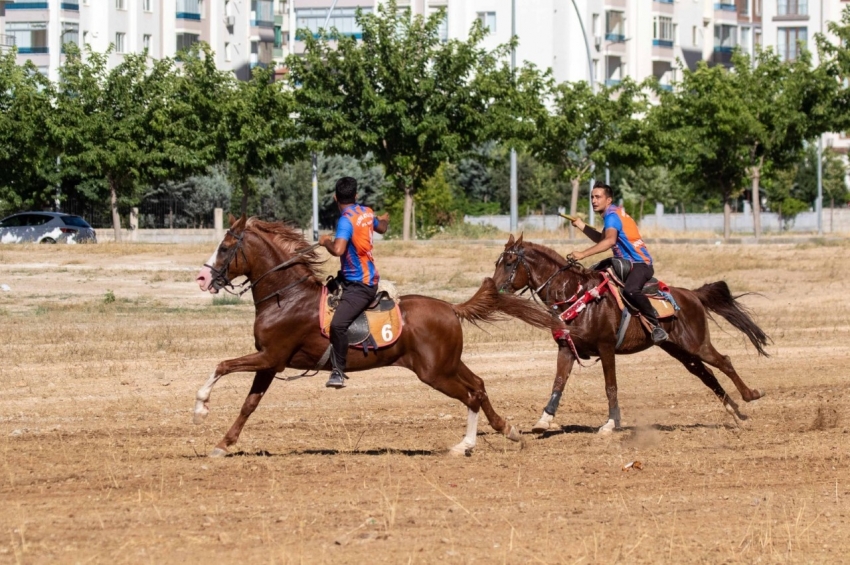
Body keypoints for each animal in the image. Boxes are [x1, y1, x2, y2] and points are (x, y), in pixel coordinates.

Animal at [195, 214, 560, 456]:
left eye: (225, 248)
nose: (202, 278)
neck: (286, 295)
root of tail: (450, 307)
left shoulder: (271, 356)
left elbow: (222, 365)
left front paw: (200, 406)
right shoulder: (270, 363)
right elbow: (249, 404)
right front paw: (223, 444)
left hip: (434, 372)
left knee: (470, 396)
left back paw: (465, 445)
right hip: (447, 364)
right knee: (480, 387)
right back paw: (508, 430)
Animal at [490, 234, 768, 432]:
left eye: (509, 263)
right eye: (497, 263)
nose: (492, 290)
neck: (577, 294)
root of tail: (692, 294)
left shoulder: (606, 348)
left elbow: (610, 386)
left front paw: (611, 423)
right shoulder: (567, 349)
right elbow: (558, 383)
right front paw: (544, 419)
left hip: (697, 344)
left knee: (724, 362)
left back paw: (751, 396)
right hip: (679, 350)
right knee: (706, 374)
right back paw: (736, 413)